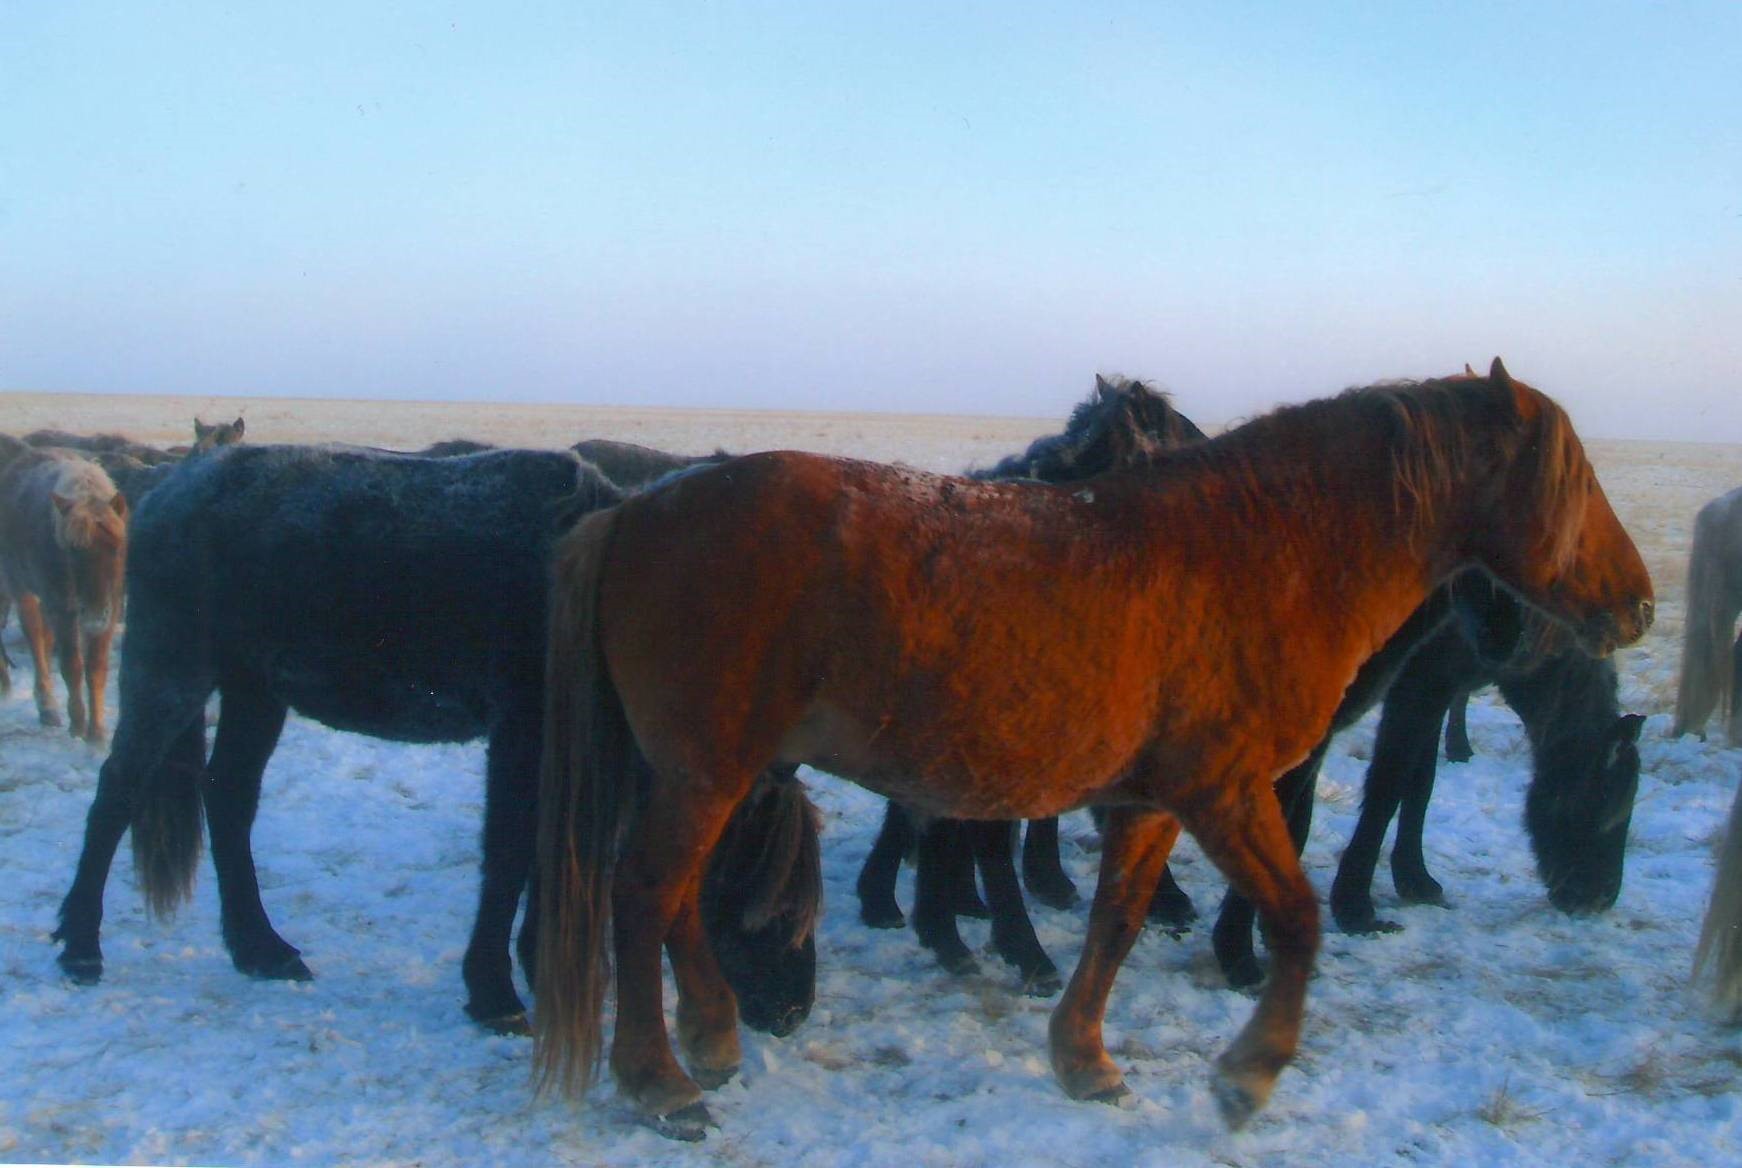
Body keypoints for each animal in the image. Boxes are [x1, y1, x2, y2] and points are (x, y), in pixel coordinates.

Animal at [0, 449, 128, 742]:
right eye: (73, 550)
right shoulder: (62, 608)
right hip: (23, 591)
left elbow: (96, 668)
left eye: (116, 548)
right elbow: (72, 665)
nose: (93, 614)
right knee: (36, 644)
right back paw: (46, 706)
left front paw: (98, 731)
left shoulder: (111, 610)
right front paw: (78, 725)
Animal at [50, 444, 818, 1038]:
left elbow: (551, 849)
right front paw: (494, 990)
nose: (790, 1012)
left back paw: (260, 948)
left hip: (255, 691)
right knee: (116, 793)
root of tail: (163, 491)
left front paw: (536, 963)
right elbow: (511, 853)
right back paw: (81, 946)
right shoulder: (522, 731)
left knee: (229, 799)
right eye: (766, 890)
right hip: (172, 671)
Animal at [529, 360, 1644, 1136]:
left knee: (674, 898)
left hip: (702, 777)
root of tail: (632, 513)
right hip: (703, 775)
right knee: (644, 894)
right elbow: (1294, 918)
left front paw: (1084, 1060)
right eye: (1574, 479)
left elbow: (1115, 924)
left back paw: (713, 1036)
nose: (1636, 603)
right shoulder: (1228, 791)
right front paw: (1247, 1075)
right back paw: (663, 1082)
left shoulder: (1152, 802)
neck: (1263, 552)